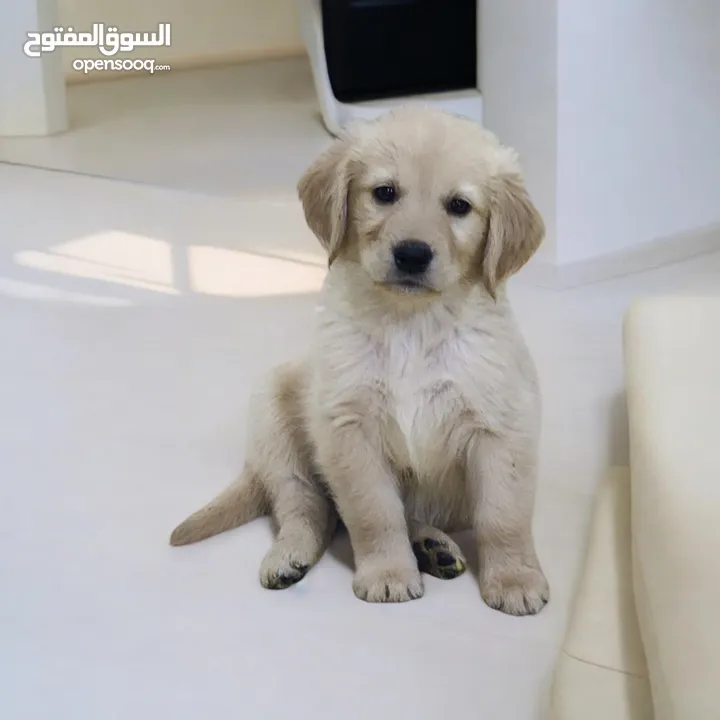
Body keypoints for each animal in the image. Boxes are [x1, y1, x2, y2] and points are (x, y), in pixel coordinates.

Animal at [172, 107, 548, 612]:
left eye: (459, 206)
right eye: (384, 193)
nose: (412, 254)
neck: (412, 323)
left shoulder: (501, 426)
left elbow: (502, 515)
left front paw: (514, 580)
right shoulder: (349, 428)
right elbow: (374, 512)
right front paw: (387, 574)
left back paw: (432, 546)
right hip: (273, 411)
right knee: (308, 506)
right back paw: (290, 557)